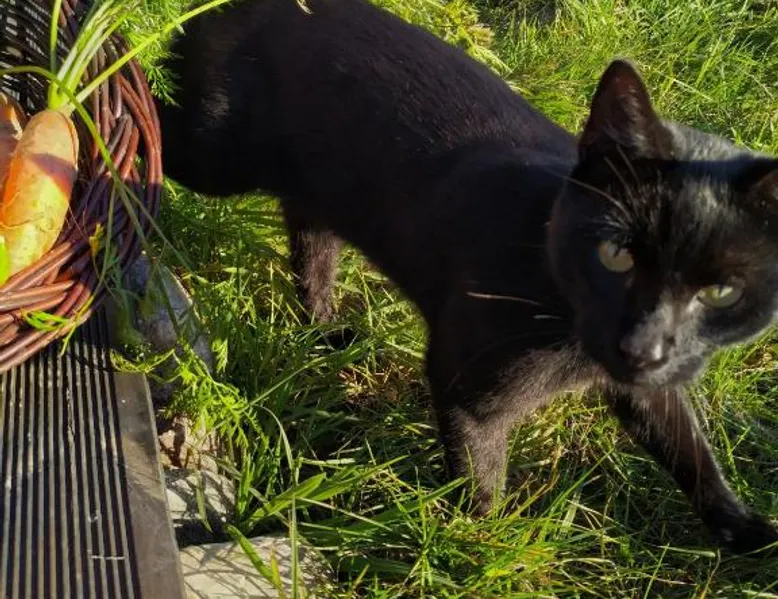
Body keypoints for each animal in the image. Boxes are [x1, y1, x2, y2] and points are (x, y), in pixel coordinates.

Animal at [156, 0, 778, 554]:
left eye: (720, 292)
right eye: (616, 255)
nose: (643, 346)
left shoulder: (651, 387)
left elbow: (689, 449)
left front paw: (749, 532)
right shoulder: (464, 381)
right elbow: (481, 475)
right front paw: (478, 547)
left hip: (315, 190)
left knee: (311, 248)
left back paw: (326, 331)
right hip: (213, 156)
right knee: (155, 112)